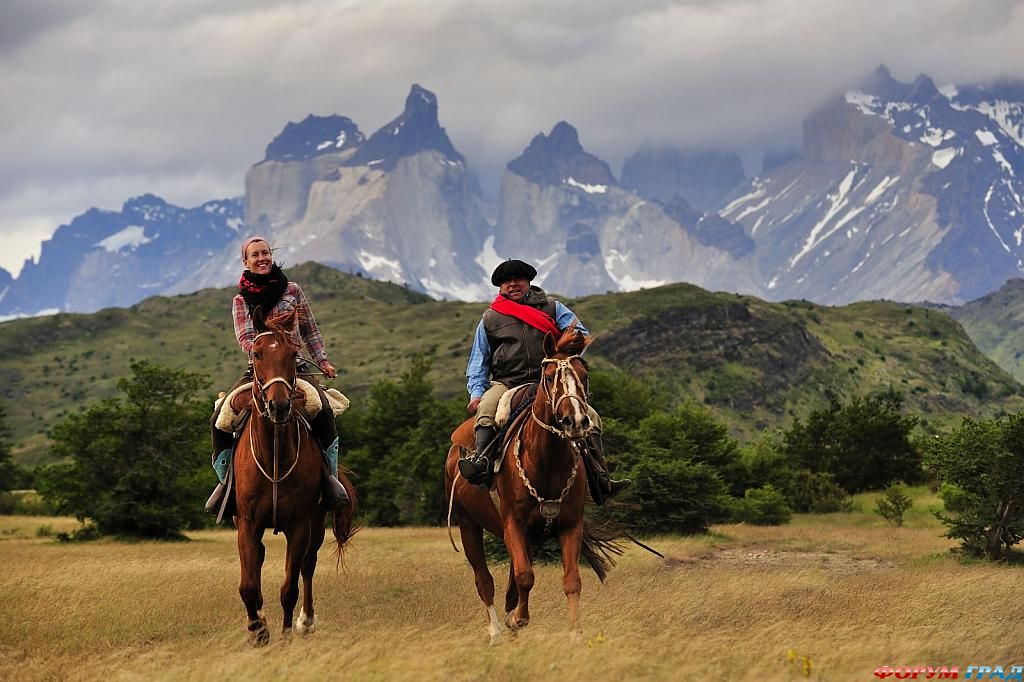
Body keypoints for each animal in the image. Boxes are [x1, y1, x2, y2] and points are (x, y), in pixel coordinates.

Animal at [234, 311, 358, 647]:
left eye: (293, 354)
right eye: (257, 354)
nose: (278, 405)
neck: (274, 458)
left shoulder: (300, 523)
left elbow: (290, 587)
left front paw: (287, 632)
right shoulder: (247, 522)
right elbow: (248, 585)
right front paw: (257, 629)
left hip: (316, 524)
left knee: (307, 566)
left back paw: (306, 621)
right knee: (260, 559)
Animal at [440, 327, 614, 638]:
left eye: (584, 376)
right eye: (550, 377)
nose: (575, 421)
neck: (546, 460)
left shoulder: (570, 525)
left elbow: (571, 580)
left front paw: (575, 633)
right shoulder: (513, 523)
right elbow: (524, 576)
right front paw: (518, 619)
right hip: (468, 523)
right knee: (484, 580)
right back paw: (496, 631)